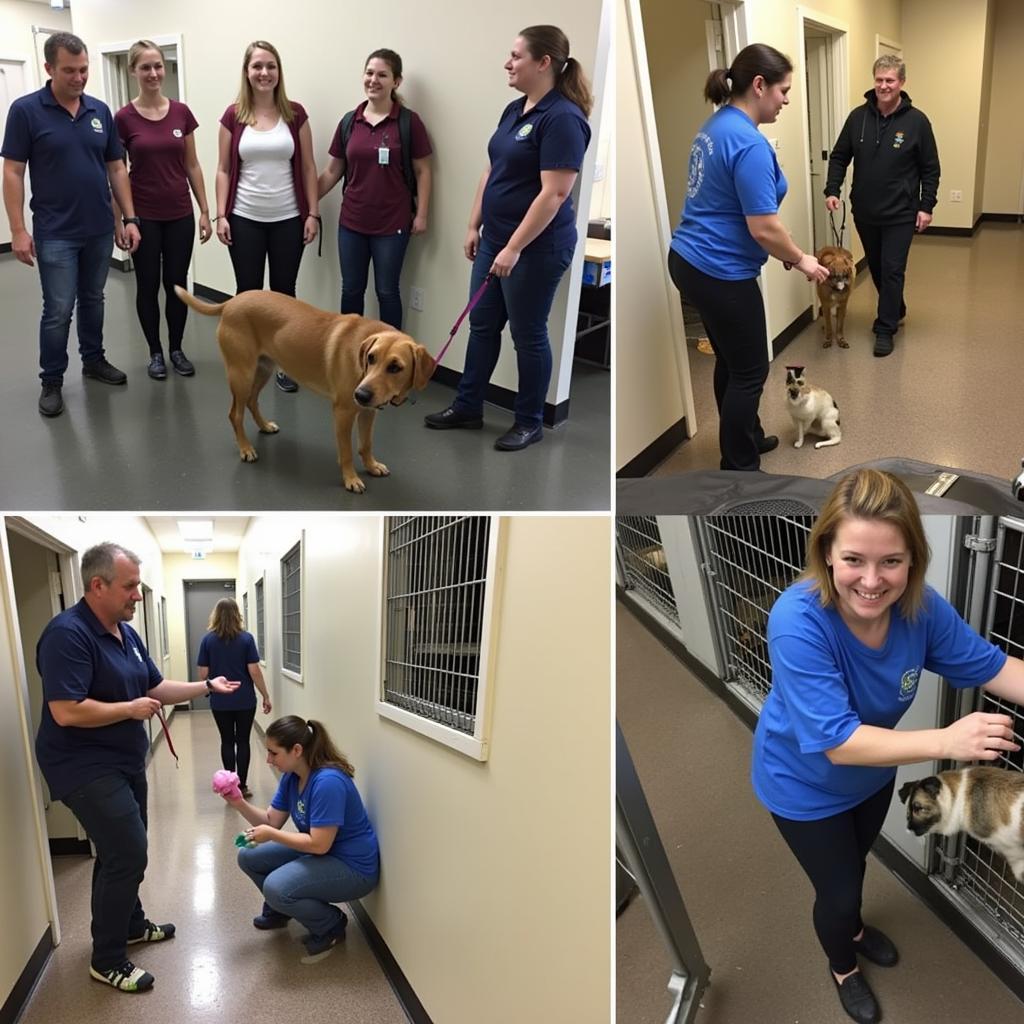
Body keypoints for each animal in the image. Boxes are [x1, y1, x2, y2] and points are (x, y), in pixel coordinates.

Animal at [176, 284, 432, 491]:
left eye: (395, 367)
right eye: (371, 358)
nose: (360, 394)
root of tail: (232, 301)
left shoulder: (368, 412)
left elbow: (366, 444)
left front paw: (371, 465)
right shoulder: (343, 413)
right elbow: (347, 451)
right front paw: (350, 479)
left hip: (263, 370)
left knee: (251, 401)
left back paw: (264, 426)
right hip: (241, 374)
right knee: (235, 414)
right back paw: (246, 448)